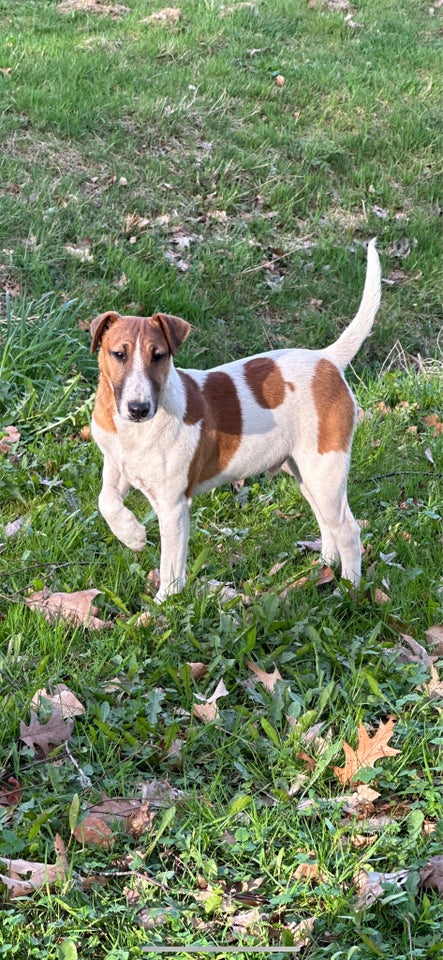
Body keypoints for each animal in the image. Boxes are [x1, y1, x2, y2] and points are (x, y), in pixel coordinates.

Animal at [89, 239, 382, 600]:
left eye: (159, 356)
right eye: (119, 354)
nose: (138, 409)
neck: (134, 430)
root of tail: (326, 360)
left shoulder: (173, 505)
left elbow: (171, 563)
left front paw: (164, 603)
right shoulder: (116, 466)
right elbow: (106, 501)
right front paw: (132, 535)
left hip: (325, 470)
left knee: (349, 530)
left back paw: (348, 590)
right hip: (304, 472)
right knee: (328, 523)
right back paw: (322, 569)